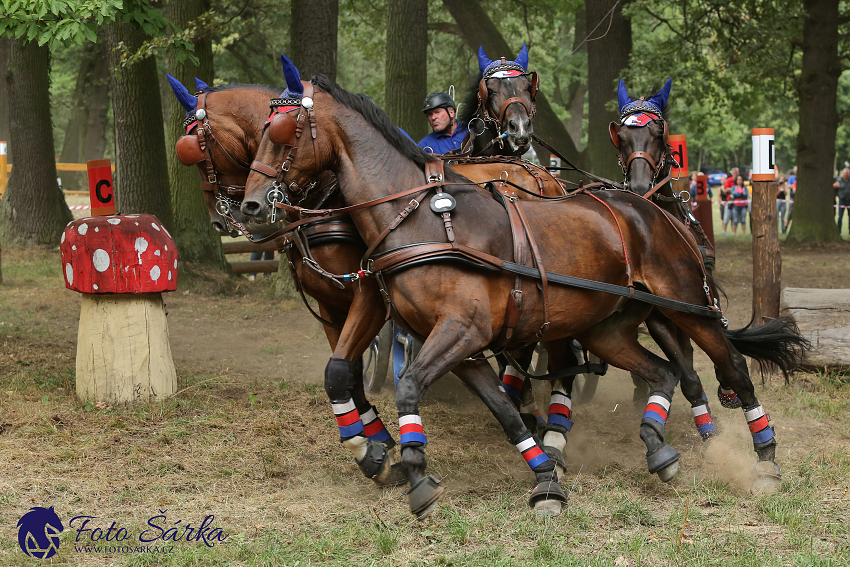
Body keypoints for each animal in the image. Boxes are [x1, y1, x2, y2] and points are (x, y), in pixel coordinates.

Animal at [238, 74, 800, 520]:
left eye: (284, 134)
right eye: (257, 134)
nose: (250, 205)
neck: (419, 219)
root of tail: (652, 208)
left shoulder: (460, 331)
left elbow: (410, 388)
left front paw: (415, 471)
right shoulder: (459, 347)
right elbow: (502, 410)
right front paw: (545, 479)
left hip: (687, 309)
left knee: (730, 370)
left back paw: (764, 458)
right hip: (609, 327)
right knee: (663, 373)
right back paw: (658, 449)